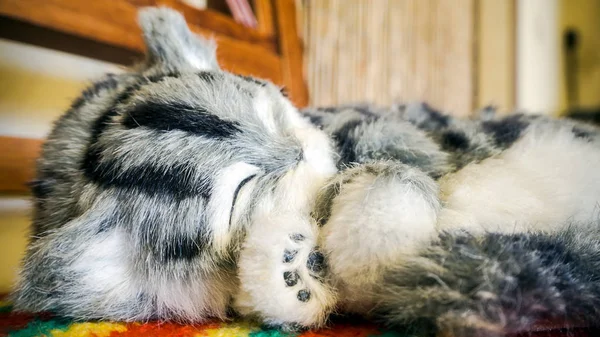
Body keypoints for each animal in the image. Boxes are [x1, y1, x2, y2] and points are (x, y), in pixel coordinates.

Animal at [11, 5, 600, 336]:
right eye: (243, 190)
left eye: (271, 110)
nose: (298, 152)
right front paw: (294, 271)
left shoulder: (396, 135)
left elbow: (402, 174)